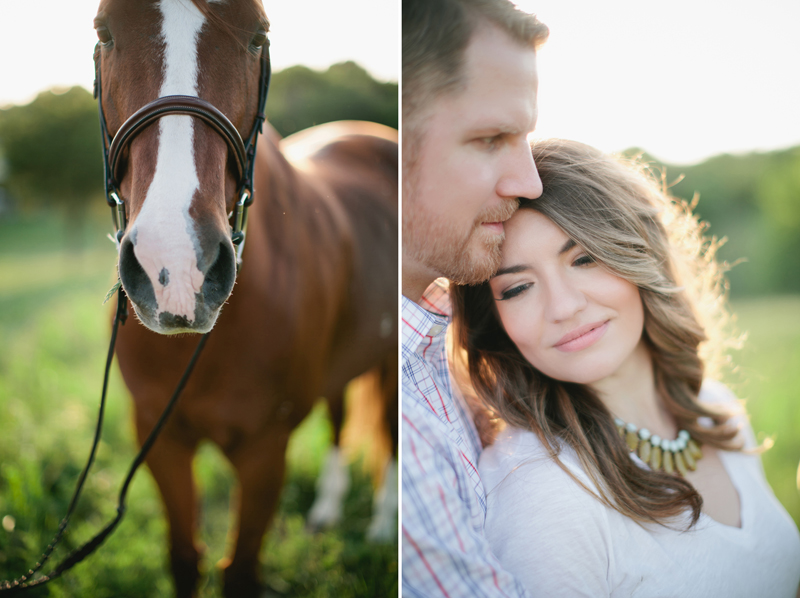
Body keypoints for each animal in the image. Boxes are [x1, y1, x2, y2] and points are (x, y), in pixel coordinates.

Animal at [92, 2, 398, 596]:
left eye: (259, 35)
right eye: (104, 31)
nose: (175, 266)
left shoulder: (265, 452)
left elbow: (240, 572)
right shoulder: (159, 438)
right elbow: (184, 559)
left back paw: (382, 528)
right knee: (338, 413)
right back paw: (328, 510)